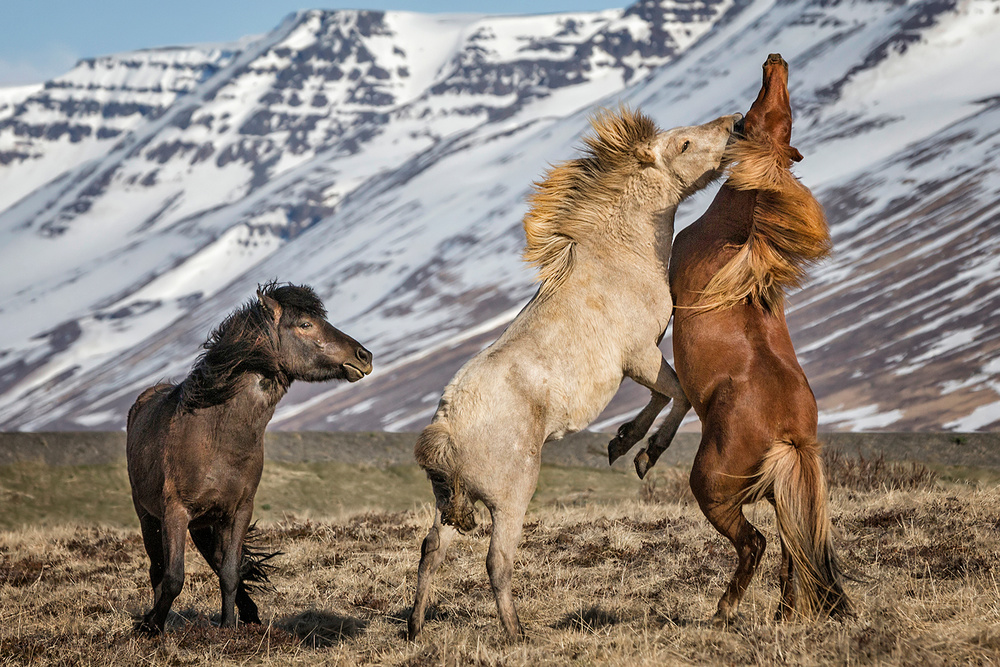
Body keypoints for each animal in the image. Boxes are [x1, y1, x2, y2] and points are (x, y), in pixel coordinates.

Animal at [125, 280, 374, 636]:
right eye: (305, 324)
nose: (364, 356)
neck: (217, 435)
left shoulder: (239, 511)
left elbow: (230, 571)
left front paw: (229, 627)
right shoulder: (175, 512)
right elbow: (174, 577)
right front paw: (150, 626)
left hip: (205, 522)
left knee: (214, 563)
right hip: (149, 515)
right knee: (157, 568)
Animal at [406, 109, 744, 640]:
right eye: (684, 144)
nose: (736, 123)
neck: (617, 257)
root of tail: (447, 427)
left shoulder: (640, 361)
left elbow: (663, 396)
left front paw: (623, 441)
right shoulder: (639, 355)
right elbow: (679, 395)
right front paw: (642, 452)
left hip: (446, 508)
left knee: (431, 551)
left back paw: (416, 627)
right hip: (510, 500)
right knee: (496, 561)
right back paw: (516, 635)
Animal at [608, 54, 852, 624]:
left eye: (765, 107)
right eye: (782, 109)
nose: (776, 60)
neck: (734, 225)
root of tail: (789, 436)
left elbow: (666, 385)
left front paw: (636, 445)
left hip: (713, 488)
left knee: (756, 544)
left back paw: (724, 610)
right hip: (780, 489)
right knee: (791, 549)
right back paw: (784, 613)